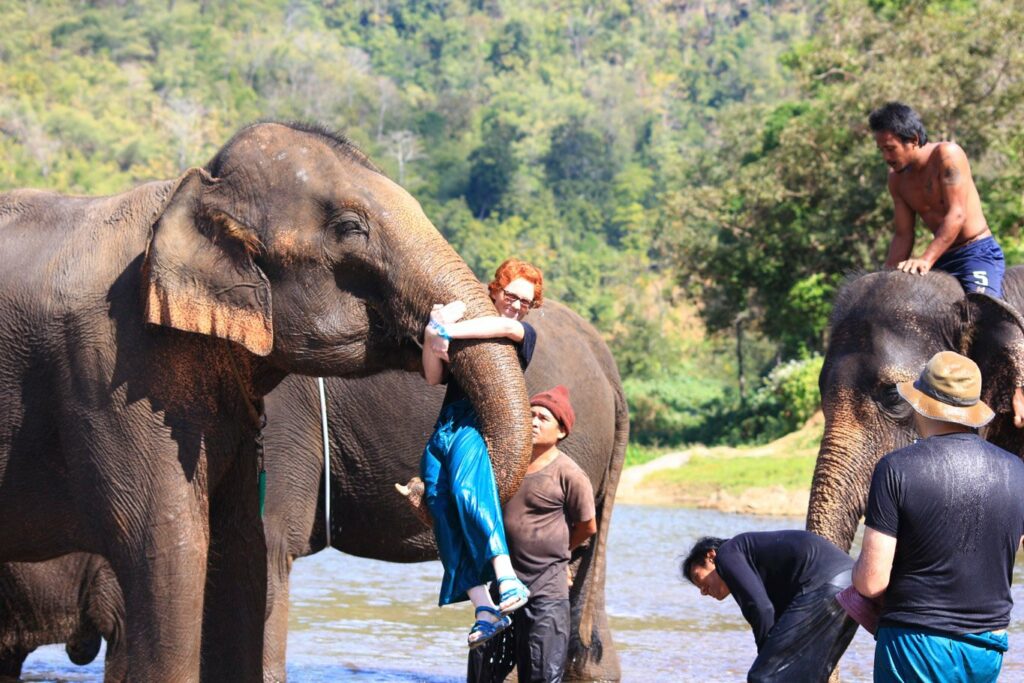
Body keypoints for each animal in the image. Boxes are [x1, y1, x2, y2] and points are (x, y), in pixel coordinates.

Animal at [0, 121, 532, 682]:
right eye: (351, 227)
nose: (411, 486)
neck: (190, 190)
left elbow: (244, 550)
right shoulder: (113, 369)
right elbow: (170, 545)